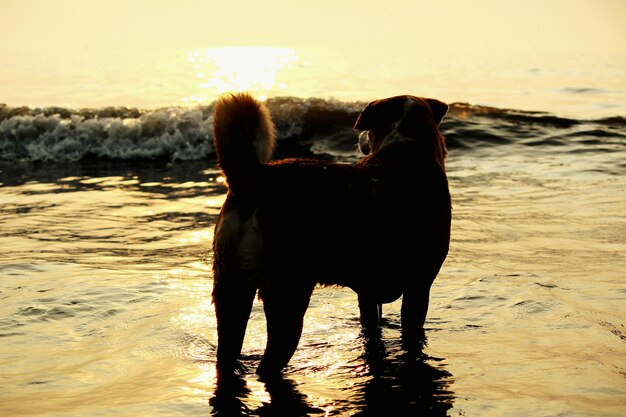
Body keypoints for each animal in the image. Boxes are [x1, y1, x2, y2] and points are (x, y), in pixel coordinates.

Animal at [211, 92, 448, 378]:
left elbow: (371, 328)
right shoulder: (419, 286)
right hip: (287, 290)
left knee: (227, 349)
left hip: (230, 285)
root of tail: (257, 179)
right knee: (272, 357)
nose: (359, 138)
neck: (406, 149)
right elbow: (412, 333)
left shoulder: (368, 295)